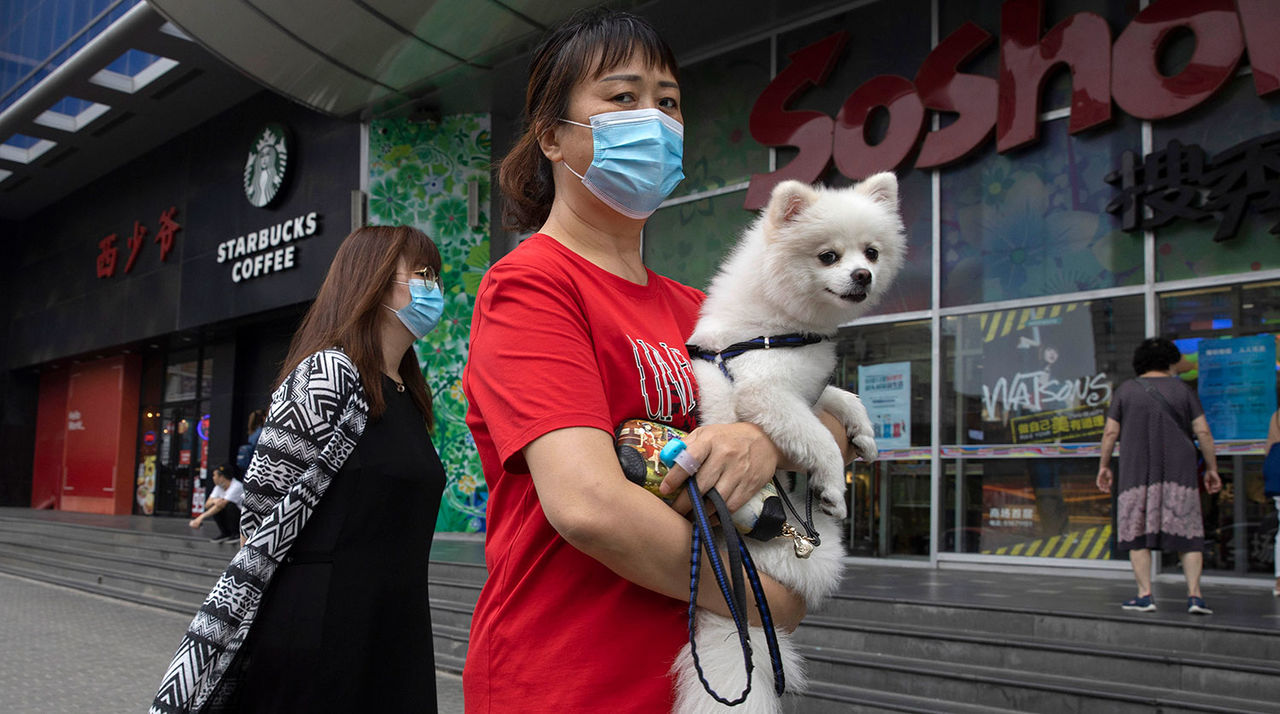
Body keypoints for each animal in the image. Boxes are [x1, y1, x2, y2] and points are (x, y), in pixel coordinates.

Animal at [675, 175, 906, 714]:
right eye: (828, 256)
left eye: (872, 252)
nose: (863, 275)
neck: (777, 329)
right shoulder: (766, 393)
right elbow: (819, 437)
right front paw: (834, 486)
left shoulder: (807, 387)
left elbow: (841, 397)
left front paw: (865, 434)